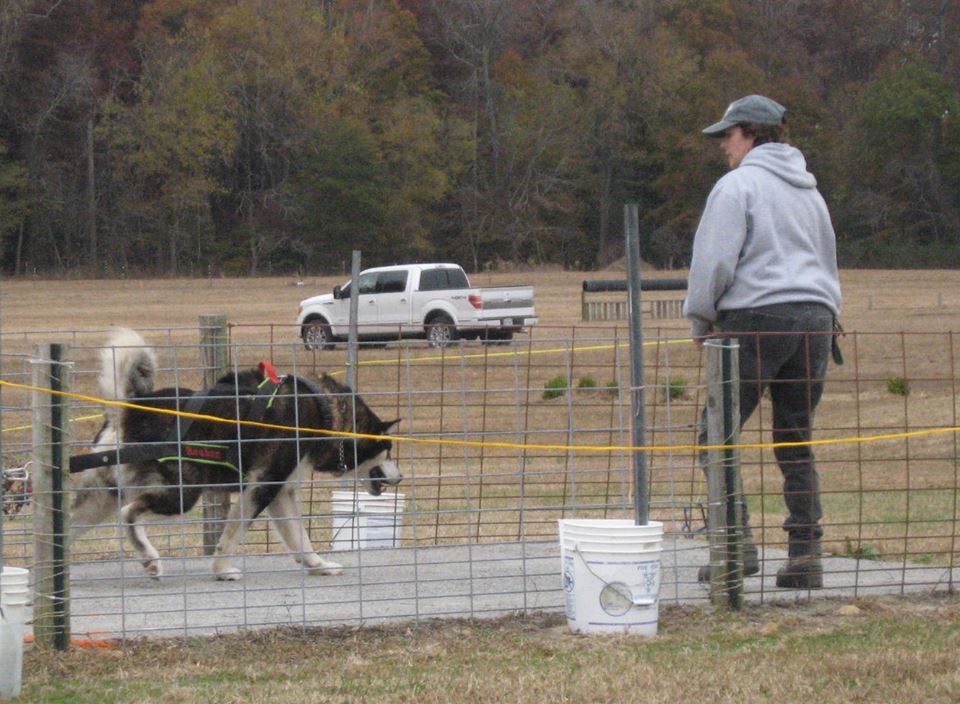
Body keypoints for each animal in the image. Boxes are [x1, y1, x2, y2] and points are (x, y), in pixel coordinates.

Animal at [72, 330, 402, 584]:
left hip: (102, 496)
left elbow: (300, 539)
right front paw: (221, 570)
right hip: (183, 492)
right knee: (128, 513)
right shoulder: (261, 487)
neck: (320, 409)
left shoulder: (280, 493)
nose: (400, 477)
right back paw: (150, 559)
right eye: (388, 450)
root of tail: (131, 410)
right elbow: (230, 537)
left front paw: (318, 566)